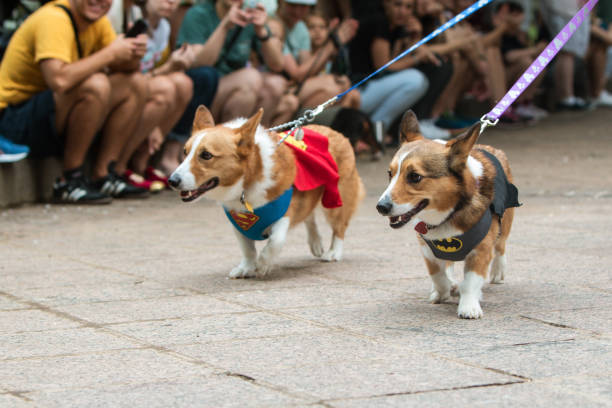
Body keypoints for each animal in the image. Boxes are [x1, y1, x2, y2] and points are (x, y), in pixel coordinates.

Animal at [166, 104, 364, 278]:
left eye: (206, 155)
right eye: (185, 152)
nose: (172, 181)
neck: (246, 184)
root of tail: (336, 132)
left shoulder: (285, 213)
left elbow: (275, 241)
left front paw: (262, 265)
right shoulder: (238, 222)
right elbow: (246, 248)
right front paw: (246, 267)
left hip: (337, 198)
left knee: (339, 226)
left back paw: (333, 252)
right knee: (309, 216)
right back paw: (316, 243)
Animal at [376, 111, 520, 318]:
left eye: (415, 177)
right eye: (390, 173)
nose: (381, 207)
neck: (447, 214)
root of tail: (488, 147)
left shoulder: (481, 249)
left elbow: (470, 282)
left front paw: (469, 307)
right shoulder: (427, 249)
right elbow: (438, 275)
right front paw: (442, 292)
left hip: (505, 223)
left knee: (501, 246)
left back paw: (497, 272)